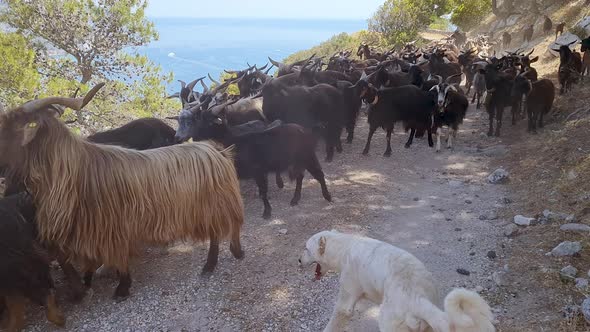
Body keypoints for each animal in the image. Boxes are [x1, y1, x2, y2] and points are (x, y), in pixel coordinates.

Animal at [0, 83, 246, 298]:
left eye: (11, 129)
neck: (76, 170)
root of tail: (215, 150)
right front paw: (91, 281)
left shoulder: (115, 225)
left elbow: (119, 256)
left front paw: (121, 288)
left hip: (216, 202)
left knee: (225, 229)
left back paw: (224, 258)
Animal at [194, 110, 332, 219]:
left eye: (208, 122)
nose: (195, 137)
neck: (234, 142)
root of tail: (305, 130)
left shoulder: (259, 171)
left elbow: (262, 192)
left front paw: (267, 212)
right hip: (297, 160)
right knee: (300, 176)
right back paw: (295, 199)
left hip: (307, 156)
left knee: (319, 174)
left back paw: (327, 196)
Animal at [298, 231, 498, 332]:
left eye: (306, 249)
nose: (298, 261)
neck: (345, 247)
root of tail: (418, 297)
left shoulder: (345, 302)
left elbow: (334, 322)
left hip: (390, 324)